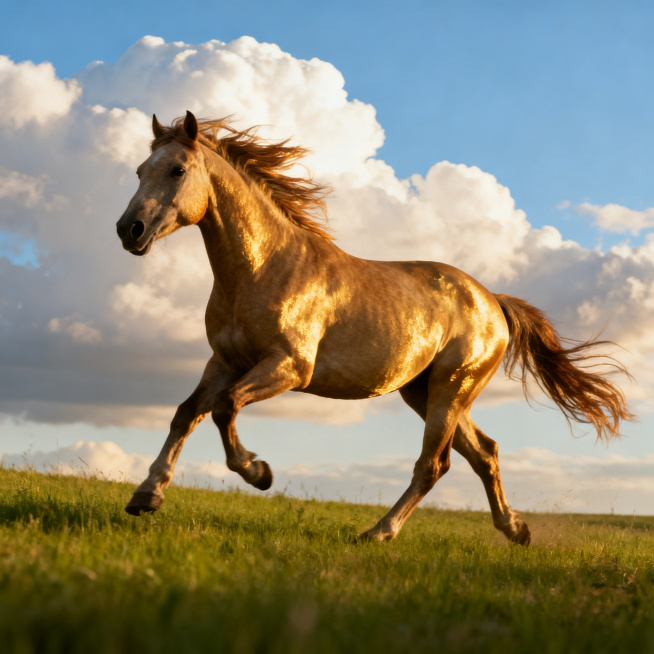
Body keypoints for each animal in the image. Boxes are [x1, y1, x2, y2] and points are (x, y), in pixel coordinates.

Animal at [116, 111, 632, 544]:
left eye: (177, 170)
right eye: (140, 170)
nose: (129, 230)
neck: (262, 268)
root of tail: (494, 303)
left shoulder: (289, 367)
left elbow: (225, 407)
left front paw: (258, 472)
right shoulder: (224, 360)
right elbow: (186, 413)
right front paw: (146, 496)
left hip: (451, 389)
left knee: (434, 465)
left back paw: (378, 533)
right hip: (425, 392)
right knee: (484, 453)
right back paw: (516, 529)